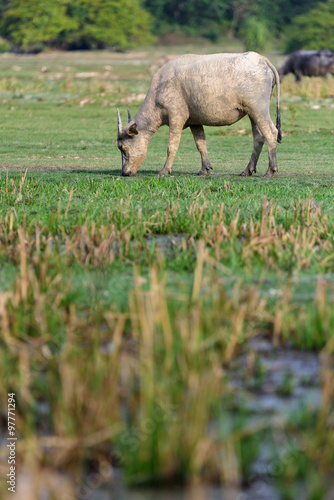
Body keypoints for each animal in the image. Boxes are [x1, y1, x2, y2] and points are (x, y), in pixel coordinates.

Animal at [117, 50, 282, 179]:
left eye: (122, 148)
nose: (124, 172)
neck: (159, 89)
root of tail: (262, 60)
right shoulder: (194, 122)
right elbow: (201, 144)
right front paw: (204, 169)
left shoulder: (176, 118)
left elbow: (172, 146)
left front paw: (164, 171)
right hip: (252, 113)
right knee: (258, 138)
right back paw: (247, 170)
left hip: (259, 110)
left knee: (271, 133)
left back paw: (270, 170)